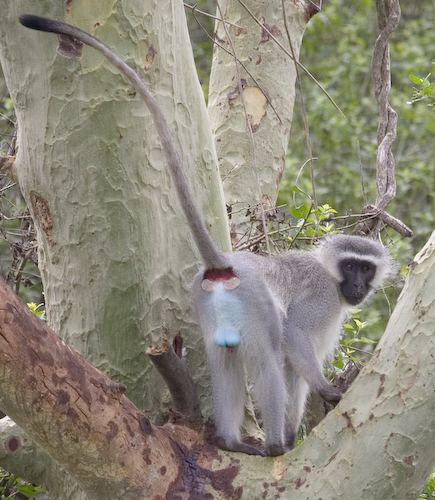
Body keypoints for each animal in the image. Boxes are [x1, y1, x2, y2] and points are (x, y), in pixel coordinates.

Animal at [19, 15, 396, 456]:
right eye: (351, 266)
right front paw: (323, 398)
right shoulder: (321, 299)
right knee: (267, 358)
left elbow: (291, 370)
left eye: (366, 269)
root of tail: (226, 263)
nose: (356, 285)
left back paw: (231, 441)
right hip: (255, 306)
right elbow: (294, 344)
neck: (331, 276)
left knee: (226, 363)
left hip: (207, 306)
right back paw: (273, 447)